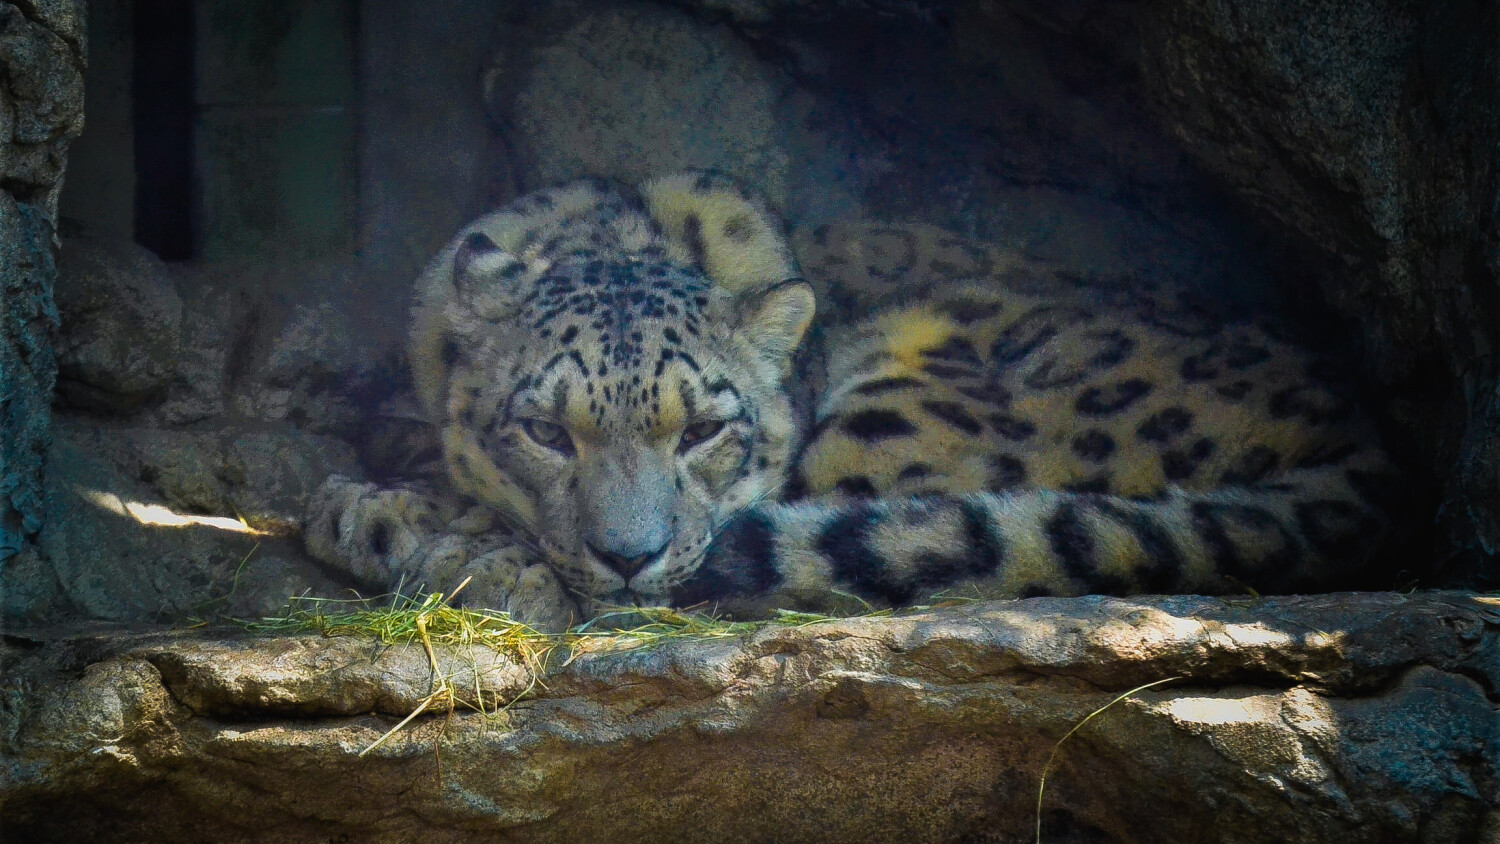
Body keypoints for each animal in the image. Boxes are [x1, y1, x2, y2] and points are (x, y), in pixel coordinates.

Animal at [305, 171, 1398, 629]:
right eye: (543, 430)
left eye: (704, 431)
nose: (629, 555)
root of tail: (1373, 435)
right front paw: (384, 508)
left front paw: (410, 530)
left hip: (901, 407)